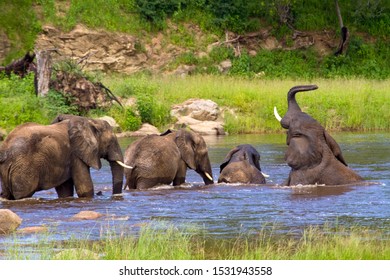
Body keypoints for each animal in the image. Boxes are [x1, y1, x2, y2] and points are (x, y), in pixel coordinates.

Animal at [0, 115, 132, 200]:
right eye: (110, 142)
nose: (115, 196)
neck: (90, 120)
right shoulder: (76, 154)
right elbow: (85, 188)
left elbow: (65, 191)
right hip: (24, 168)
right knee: (23, 194)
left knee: (6, 195)